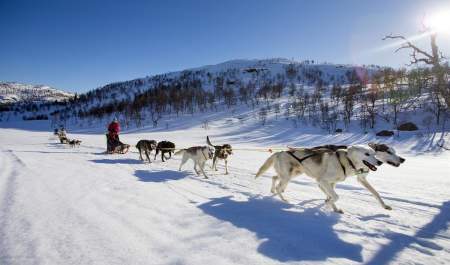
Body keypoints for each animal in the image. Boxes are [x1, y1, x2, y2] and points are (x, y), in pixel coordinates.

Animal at [255, 142, 406, 212]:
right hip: (288, 176)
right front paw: (328, 204)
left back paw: (274, 191)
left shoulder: (331, 183)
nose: (379, 162)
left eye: (374, 154)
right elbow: (335, 196)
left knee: (275, 178)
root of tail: (280, 152)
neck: (347, 161)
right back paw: (284, 200)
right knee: (280, 187)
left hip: (293, 174)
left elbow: (332, 195)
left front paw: (334, 208)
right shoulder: (323, 181)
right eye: (367, 154)